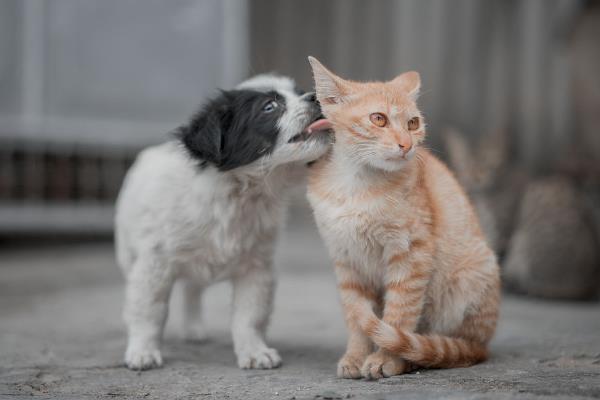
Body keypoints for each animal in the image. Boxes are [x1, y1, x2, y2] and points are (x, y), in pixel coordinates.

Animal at [116, 74, 332, 368]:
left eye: (298, 92)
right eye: (269, 107)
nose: (316, 97)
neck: (238, 195)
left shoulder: (256, 268)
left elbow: (249, 315)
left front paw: (254, 351)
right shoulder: (153, 264)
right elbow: (148, 310)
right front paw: (142, 351)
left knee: (192, 291)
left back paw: (194, 328)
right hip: (129, 255)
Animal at [308, 55, 500, 378]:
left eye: (413, 123)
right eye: (379, 119)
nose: (407, 145)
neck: (355, 185)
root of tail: (483, 345)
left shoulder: (411, 253)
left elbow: (398, 313)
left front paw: (386, 358)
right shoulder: (346, 260)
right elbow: (356, 316)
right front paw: (356, 356)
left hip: (471, 279)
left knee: (453, 346)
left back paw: (417, 356)